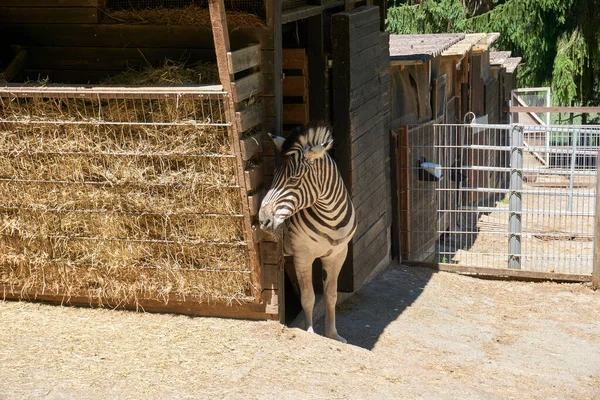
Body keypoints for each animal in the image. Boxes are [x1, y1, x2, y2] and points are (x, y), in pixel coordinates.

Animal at [258, 123, 356, 342]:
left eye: (294, 179)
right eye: (274, 176)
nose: (263, 220)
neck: (331, 218)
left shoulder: (338, 255)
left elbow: (331, 295)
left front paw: (332, 334)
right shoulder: (302, 255)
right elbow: (308, 297)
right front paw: (310, 332)